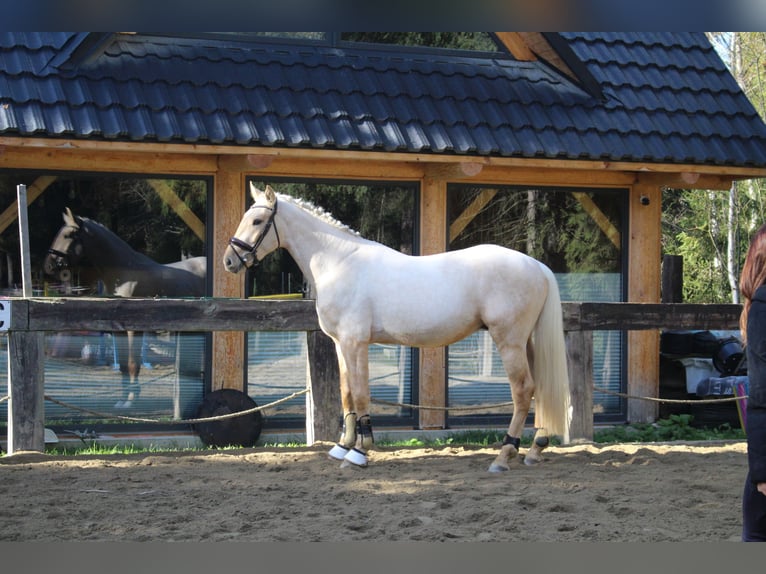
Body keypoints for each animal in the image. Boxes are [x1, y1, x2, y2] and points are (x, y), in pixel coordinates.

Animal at [225, 184, 572, 472]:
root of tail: (536, 266)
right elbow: (346, 393)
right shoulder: (340, 344)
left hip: (509, 341)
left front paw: (359, 453)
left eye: (257, 221)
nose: (230, 260)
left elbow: (361, 394)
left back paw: (504, 455)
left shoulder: (355, 342)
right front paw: (342, 447)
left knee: (523, 390)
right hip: (526, 341)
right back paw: (535, 449)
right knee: (540, 386)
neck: (339, 261)